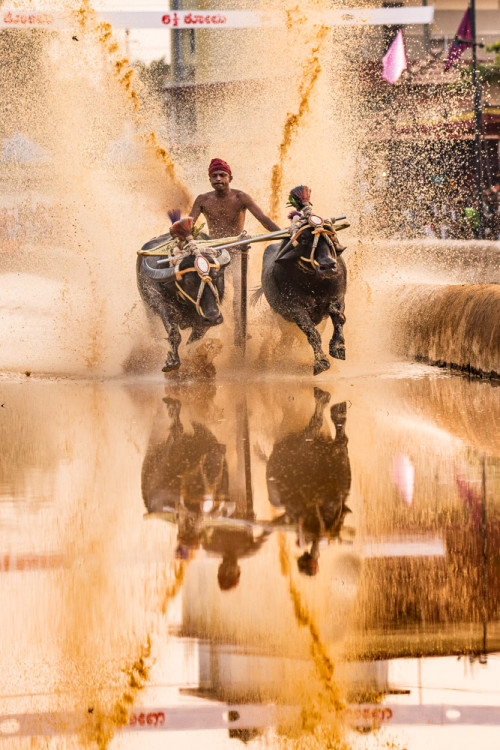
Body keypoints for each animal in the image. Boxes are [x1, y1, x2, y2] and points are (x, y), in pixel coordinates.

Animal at [137, 223, 230, 376]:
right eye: (189, 282)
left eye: (215, 276)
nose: (212, 317)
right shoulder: (164, 307)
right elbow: (174, 334)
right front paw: (171, 362)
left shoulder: (205, 319)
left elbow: (194, 339)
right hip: (148, 311)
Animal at [260, 191, 346, 376]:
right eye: (305, 239)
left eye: (330, 235)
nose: (328, 265)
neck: (314, 283)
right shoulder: (295, 308)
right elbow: (312, 333)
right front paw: (320, 362)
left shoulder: (338, 297)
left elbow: (339, 319)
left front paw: (338, 347)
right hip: (281, 317)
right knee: (287, 337)